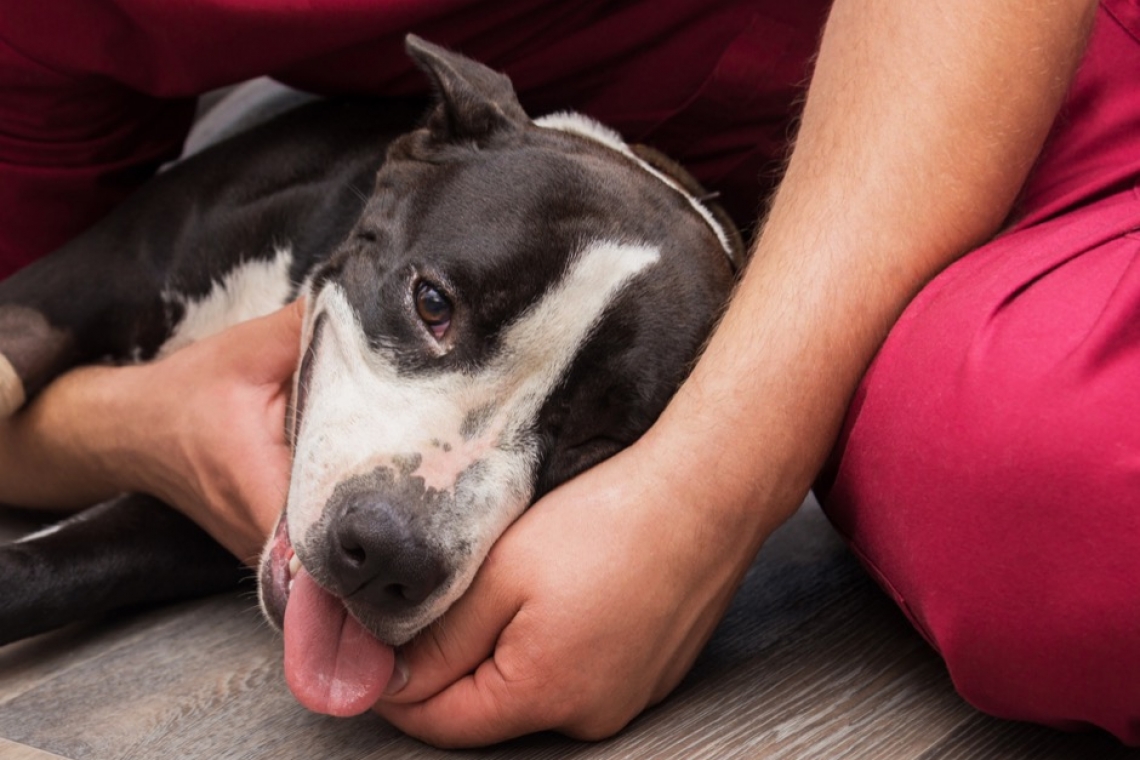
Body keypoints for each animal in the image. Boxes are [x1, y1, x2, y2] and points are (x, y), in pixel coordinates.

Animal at [0, 34, 743, 715]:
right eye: (432, 304)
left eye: (601, 441)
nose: (390, 555)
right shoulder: (56, 296)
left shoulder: (184, 501)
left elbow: (61, 570)